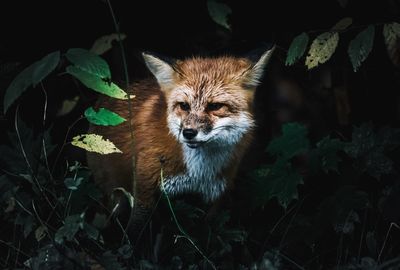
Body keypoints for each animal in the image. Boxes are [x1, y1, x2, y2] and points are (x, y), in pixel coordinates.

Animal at [86, 46, 276, 223]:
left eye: (215, 106)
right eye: (184, 106)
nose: (189, 133)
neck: (198, 173)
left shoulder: (214, 197)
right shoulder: (144, 190)